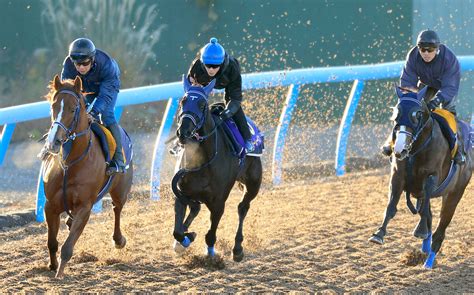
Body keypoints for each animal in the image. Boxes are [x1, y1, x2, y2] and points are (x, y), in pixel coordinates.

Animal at [42, 75, 132, 278]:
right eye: (53, 106)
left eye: (73, 109)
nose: (54, 141)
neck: (70, 164)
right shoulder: (50, 205)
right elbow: (52, 242)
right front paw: (52, 266)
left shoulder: (85, 207)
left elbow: (67, 247)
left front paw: (60, 274)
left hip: (121, 190)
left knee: (117, 208)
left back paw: (118, 240)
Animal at [171, 76, 262, 262]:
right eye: (183, 101)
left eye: (201, 105)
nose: (183, 132)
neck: (204, 161)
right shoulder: (181, 194)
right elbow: (177, 231)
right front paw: (186, 238)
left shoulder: (219, 201)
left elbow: (211, 234)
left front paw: (211, 255)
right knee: (196, 209)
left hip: (254, 183)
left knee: (243, 207)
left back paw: (237, 248)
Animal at [368, 86, 472, 270]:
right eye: (395, 113)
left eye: (417, 115)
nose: (399, 149)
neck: (416, 150)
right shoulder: (398, 175)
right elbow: (391, 206)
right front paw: (378, 234)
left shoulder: (431, 177)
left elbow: (424, 212)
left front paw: (420, 230)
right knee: (429, 218)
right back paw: (424, 250)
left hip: (455, 193)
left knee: (440, 230)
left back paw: (429, 261)